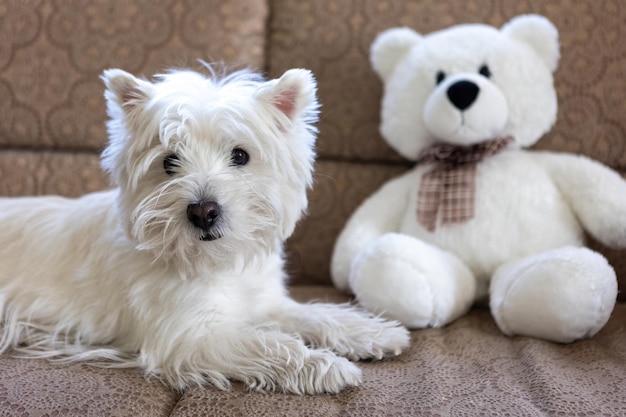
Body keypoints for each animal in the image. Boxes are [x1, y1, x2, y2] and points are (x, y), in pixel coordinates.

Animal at [0, 65, 410, 394]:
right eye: (169, 162)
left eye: (240, 155)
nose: (203, 211)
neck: (218, 262)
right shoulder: (191, 338)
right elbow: (272, 344)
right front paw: (327, 366)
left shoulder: (264, 302)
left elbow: (315, 314)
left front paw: (374, 333)